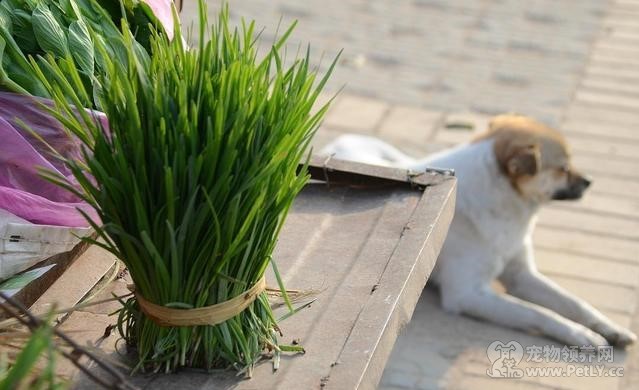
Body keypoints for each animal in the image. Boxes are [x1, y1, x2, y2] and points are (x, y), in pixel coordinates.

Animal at [324, 114, 639, 346]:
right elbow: (536, 312)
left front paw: (607, 327)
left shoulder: (521, 275)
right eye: (563, 168)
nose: (589, 181)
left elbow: (574, 303)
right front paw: (580, 334)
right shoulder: (468, 293)